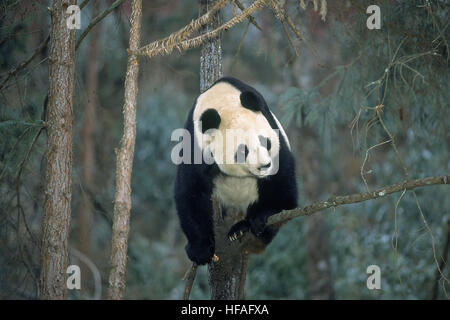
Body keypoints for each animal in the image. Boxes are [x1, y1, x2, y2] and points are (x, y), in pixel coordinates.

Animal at [176, 76, 298, 264]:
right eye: (242, 150)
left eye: (265, 141)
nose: (265, 166)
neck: (223, 103)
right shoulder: (195, 142)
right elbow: (191, 191)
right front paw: (200, 249)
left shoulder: (272, 128)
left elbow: (282, 184)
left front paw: (263, 216)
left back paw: (242, 228)